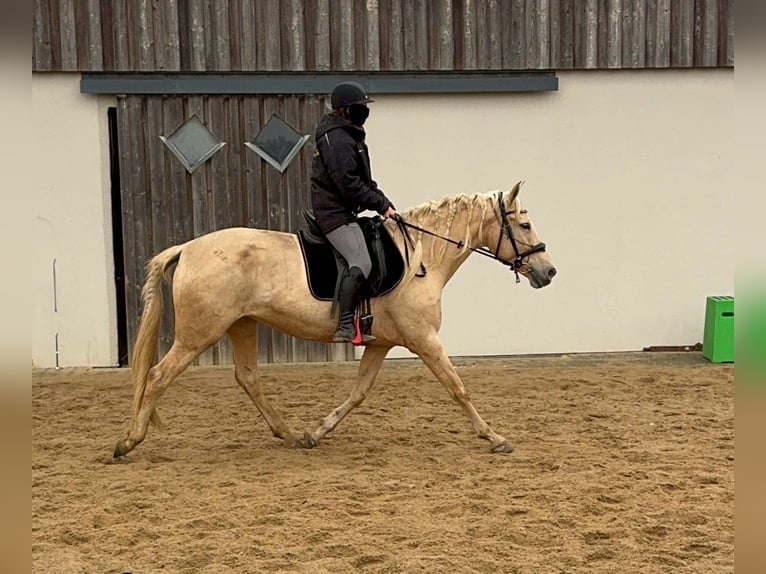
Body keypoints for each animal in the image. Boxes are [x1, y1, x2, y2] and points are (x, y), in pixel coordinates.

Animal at [112, 180, 560, 460]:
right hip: (199, 334)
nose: (548, 271)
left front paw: (317, 432)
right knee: (157, 376)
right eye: (523, 224)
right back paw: (128, 441)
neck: (421, 259)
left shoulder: (381, 344)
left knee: (248, 378)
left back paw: (291, 435)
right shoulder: (424, 339)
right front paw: (496, 438)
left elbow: (358, 394)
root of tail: (187, 248)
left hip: (243, 324)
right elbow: (458, 388)